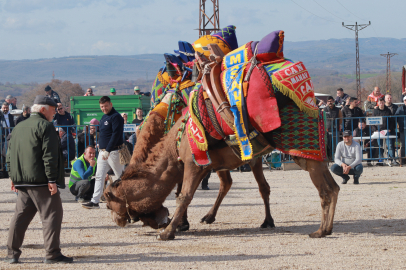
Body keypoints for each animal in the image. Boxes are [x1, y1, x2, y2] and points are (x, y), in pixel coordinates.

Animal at [104, 108, 340, 240]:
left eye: (108, 201)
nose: (117, 220)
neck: (174, 145)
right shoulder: (201, 166)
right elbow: (185, 195)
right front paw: (180, 224)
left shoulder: (193, 164)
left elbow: (184, 196)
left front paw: (168, 232)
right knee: (333, 187)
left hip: (301, 151)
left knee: (322, 190)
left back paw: (317, 230)